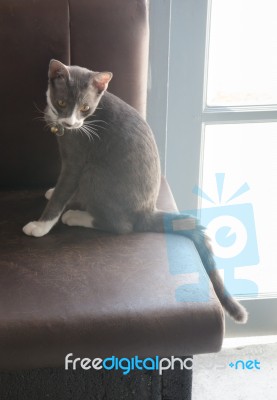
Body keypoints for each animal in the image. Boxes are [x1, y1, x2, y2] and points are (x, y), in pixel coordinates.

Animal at [23, 58, 247, 322]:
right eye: (61, 103)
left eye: (85, 108)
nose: (70, 123)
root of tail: (147, 211)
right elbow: (61, 188)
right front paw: (52, 191)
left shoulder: (77, 157)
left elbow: (63, 191)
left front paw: (40, 226)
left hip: (95, 171)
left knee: (122, 226)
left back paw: (77, 215)